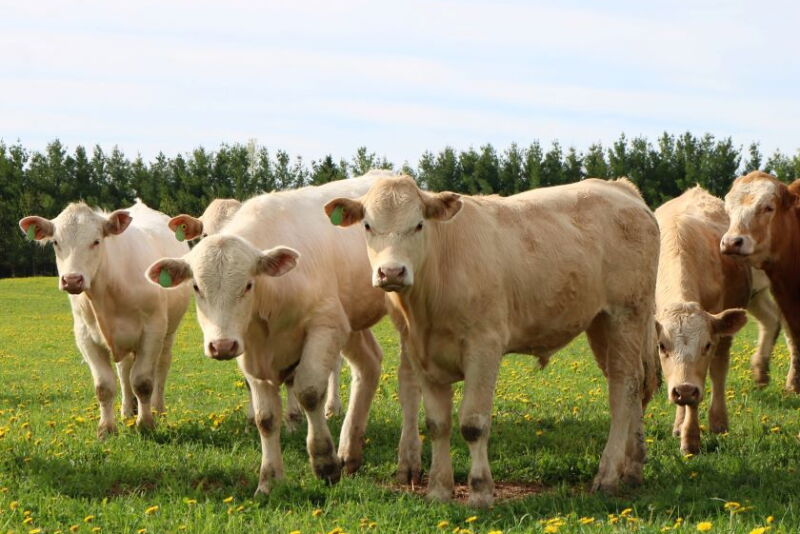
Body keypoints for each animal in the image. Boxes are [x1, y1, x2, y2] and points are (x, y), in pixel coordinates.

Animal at [19, 200, 190, 438]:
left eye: (96, 241)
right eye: (55, 242)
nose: (72, 280)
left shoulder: (152, 330)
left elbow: (143, 382)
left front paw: (146, 424)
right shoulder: (85, 336)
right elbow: (104, 386)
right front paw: (106, 429)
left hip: (169, 331)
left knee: (162, 366)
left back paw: (158, 409)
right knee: (125, 370)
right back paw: (127, 411)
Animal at [168, 198, 344, 424]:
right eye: (205, 233)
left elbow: (292, 377)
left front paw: (294, 416)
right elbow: (250, 380)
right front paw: (252, 416)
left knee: (335, 363)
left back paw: (332, 406)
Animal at [324, 175, 660, 507]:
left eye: (419, 224)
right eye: (368, 225)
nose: (391, 272)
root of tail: (620, 188)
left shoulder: (484, 347)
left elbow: (473, 424)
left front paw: (480, 491)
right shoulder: (421, 353)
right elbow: (437, 424)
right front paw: (439, 490)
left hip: (626, 314)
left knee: (624, 387)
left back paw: (608, 475)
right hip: (600, 322)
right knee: (633, 385)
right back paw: (632, 468)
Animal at [654, 186, 782, 453]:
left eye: (706, 345)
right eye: (662, 346)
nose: (683, 390)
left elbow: (701, 386)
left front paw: (690, 439)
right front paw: (681, 426)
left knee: (720, 369)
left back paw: (719, 420)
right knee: (771, 320)